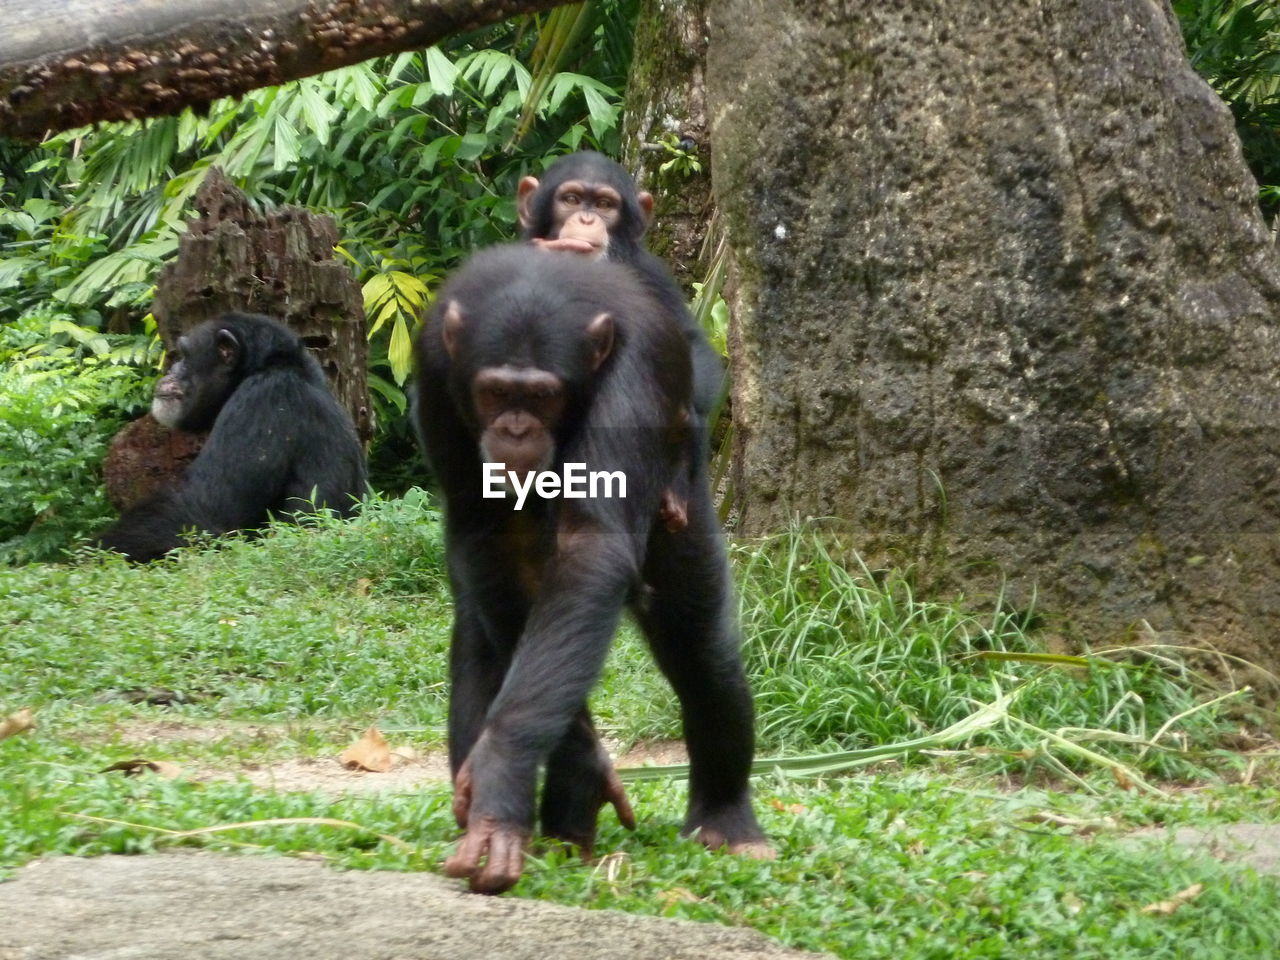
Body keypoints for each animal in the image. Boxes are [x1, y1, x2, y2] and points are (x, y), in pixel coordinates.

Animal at [417, 244, 768, 901]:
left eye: (543, 396)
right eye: (495, 393)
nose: (517, 429)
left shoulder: (632, 377)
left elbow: (591, 549)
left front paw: (504, 769)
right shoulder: (433, 374)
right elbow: (491, 537)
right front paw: (573, 774)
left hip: (683, 511)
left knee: (701, 655)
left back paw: (726, 821)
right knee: (481, 641)